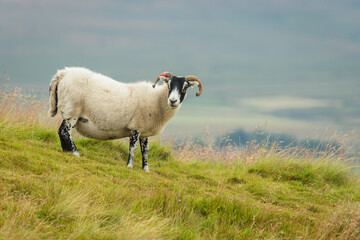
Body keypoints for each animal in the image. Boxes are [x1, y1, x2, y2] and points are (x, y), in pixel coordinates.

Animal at [47, 67, 202, 172]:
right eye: (169, 85)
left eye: (185, 87)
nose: (173, 101)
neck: (157, 100)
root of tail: (62, 74)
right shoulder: (136, 127)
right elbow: (133, 148)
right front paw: (129, 166)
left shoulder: (144, 132)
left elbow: (145, 150)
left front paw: (146, 169)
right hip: (71, 109)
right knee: (65, 132)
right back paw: (75, 152)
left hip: (69, 110)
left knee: (61, 131)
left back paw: (67, 152)